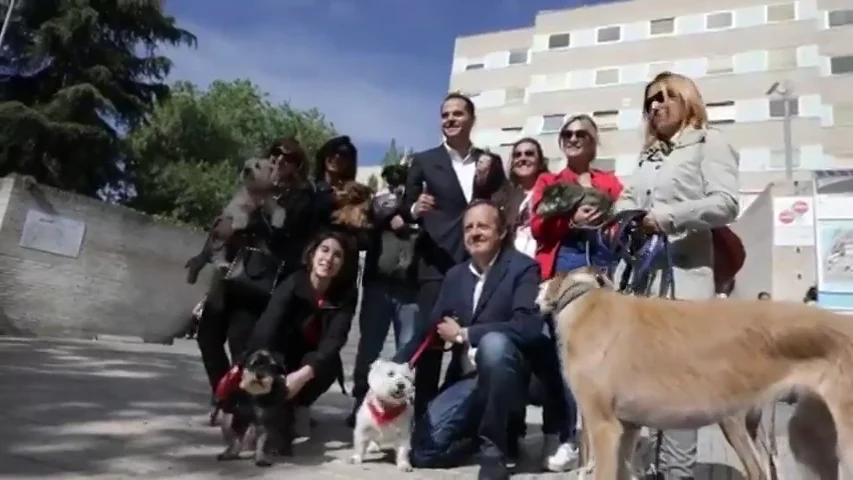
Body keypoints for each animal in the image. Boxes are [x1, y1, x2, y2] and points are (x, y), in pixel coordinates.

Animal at [536, 268, 844, 478]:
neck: (585, 299)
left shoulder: (604, 426)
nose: (537, 294)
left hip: (736, 422)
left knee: (758, 471)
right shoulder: (628, 427)